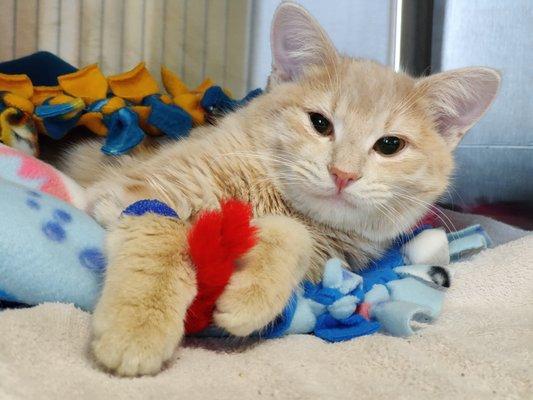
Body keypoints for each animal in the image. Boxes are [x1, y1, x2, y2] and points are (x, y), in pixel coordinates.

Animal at [62, 2, 498, 376]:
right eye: (320, 123)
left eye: (390, 145)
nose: (342, 173)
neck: (274, 197)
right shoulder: (134, 189)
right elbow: (161, 241)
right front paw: (138, 326)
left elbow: (294, 236)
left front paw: (249, 298)